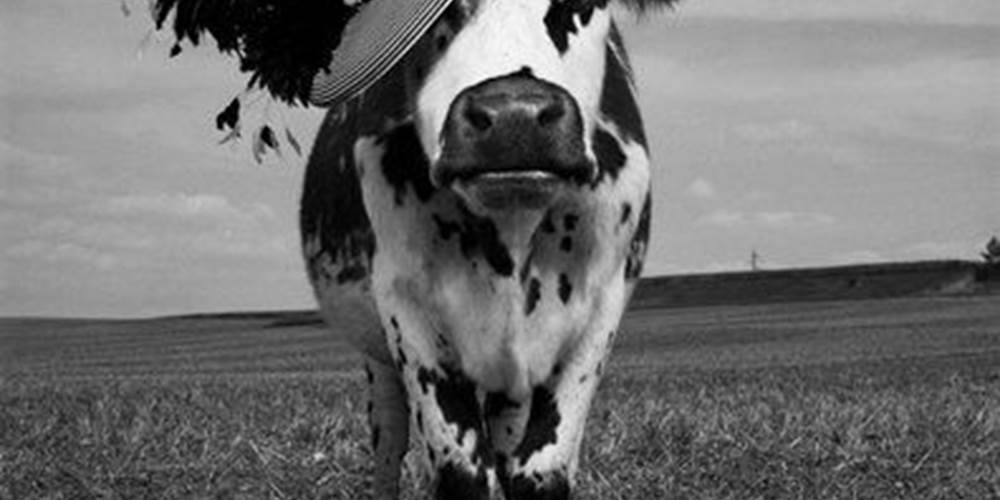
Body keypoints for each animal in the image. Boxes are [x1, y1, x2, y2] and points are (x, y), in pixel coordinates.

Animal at [154, 0, 675, 498]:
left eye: (582, 4)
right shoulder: (408, 310)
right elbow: (461, 473)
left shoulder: (601, 308)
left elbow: (540, 474)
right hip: (380, 362)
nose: (514, 117)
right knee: (389, 439)